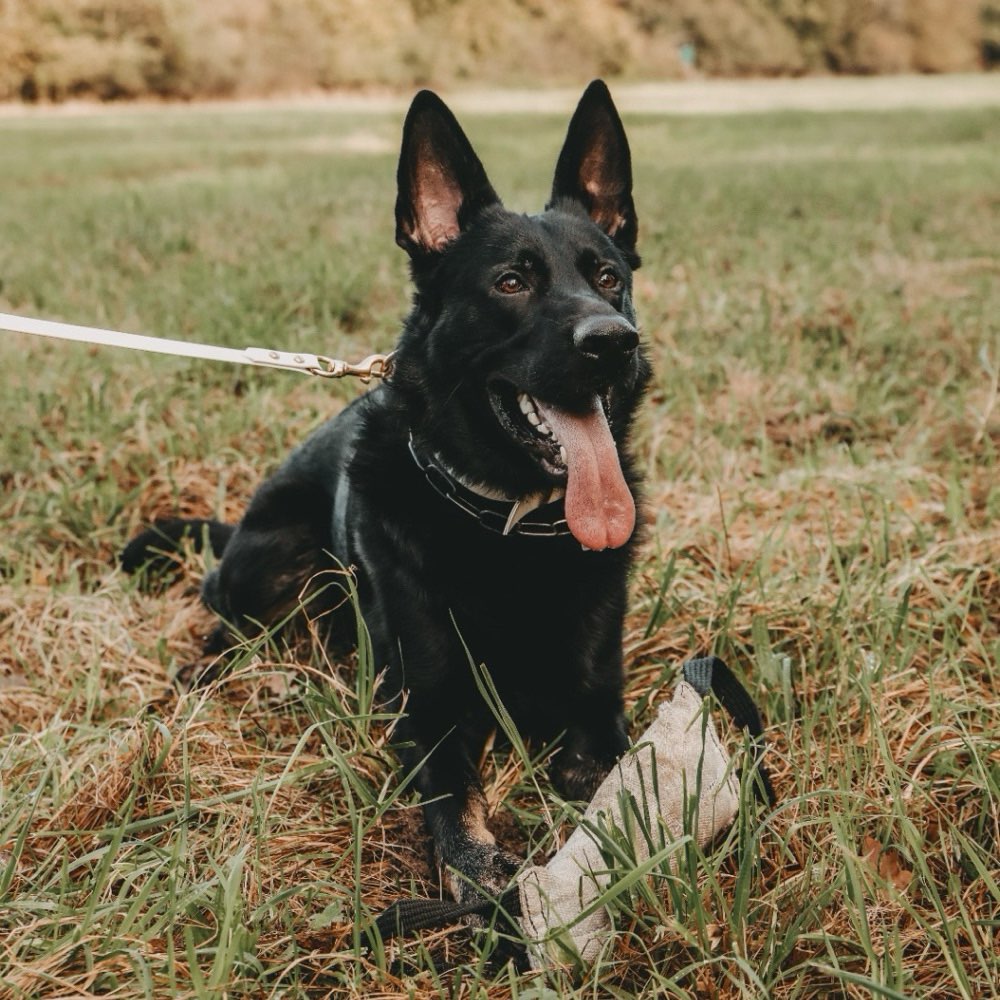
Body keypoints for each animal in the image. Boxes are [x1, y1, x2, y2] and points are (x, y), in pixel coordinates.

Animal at [123, 78, 648, 908]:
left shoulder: (596, 709)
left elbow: (609, 783)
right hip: (278, 555)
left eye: (607, 277)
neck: (504, 524)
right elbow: (458, 811)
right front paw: (482, 882)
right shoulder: (430, 712)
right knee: (221, 621)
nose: (612, 343)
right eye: (510, 282)